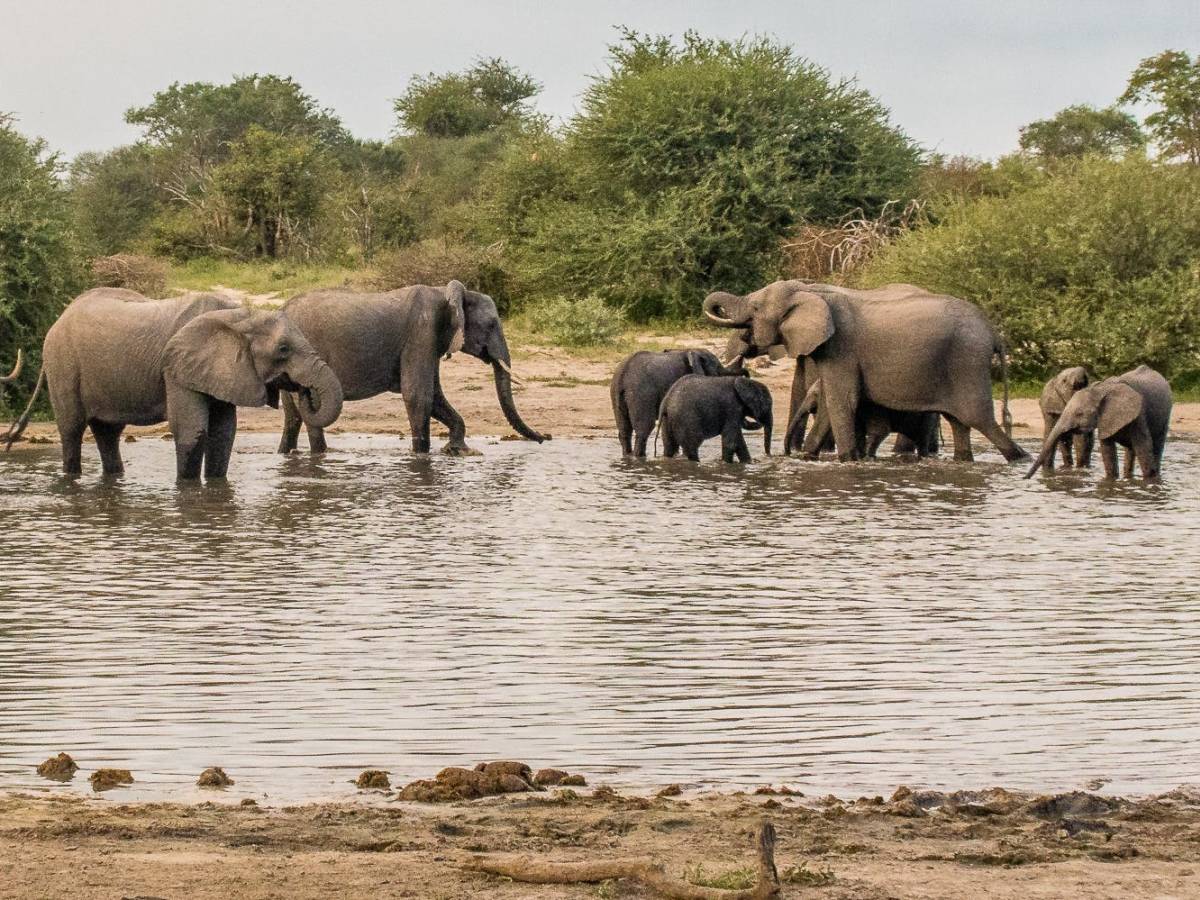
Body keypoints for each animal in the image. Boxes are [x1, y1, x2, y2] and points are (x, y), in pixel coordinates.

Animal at [2, 288, 343, 479]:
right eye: (283, 350)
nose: (305, 391)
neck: (239, 315)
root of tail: (57, 320)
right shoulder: (177, 367)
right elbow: (193, 431)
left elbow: (224, 433)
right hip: (63, 365)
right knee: (72, 431)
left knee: (108, 434)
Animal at [278, 281, 548, 455]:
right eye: (491, 325)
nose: (546, 438)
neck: (448, 293)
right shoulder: (422, 333)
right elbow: (418, 394)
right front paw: (421, 457)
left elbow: (435, 396)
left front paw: (457, 451)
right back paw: (320, 455)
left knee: (293, 415)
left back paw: (287, 453)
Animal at [610, 348, 742, 456]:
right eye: (718, 368)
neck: (690, 350)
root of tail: (622, 376)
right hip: (641, 394)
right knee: (644, 429)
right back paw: (639, 457)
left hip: (617, 394)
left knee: (624, 430)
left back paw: (628, 456)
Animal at [704, 281, 1026, 463]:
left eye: (756, 308)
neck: (812, 291)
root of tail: (994, 333)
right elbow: (831, 403)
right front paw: (809, 458)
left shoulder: (841, 348)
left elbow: (841, 401)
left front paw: (846, 460)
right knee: (959, 422)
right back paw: (965, 461)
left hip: (966, 362)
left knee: (978, 418)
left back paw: (1020, 459)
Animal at [1026, 365, 1172, 480]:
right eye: (1064, 380)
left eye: (1079, 414)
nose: (1025, 478)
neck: (1101, 389)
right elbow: (1107, 452)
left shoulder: (1138, 415)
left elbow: (1144, 449)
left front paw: (1150, 481)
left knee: (1156, 446)